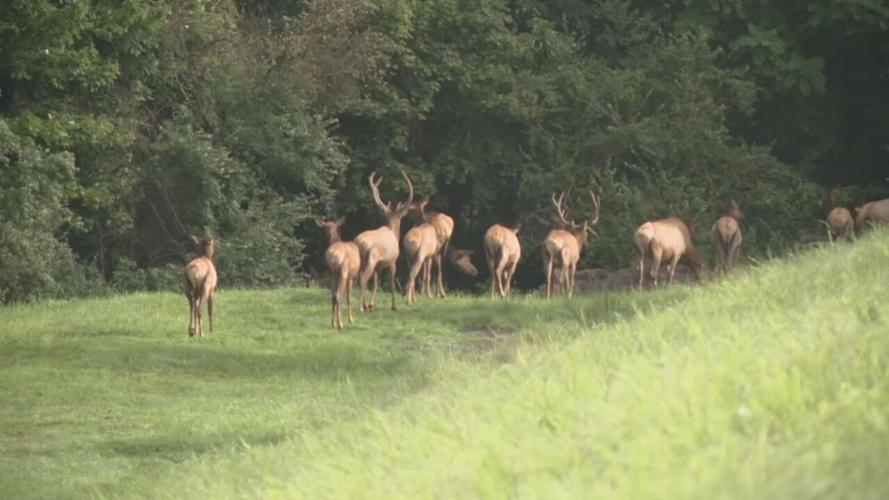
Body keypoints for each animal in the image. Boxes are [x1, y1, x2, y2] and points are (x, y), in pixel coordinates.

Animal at [354, 169, 414, 312]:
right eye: (401, 218)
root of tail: (359, 243)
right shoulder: (392, 260)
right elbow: (392, 283)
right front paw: (394, 306)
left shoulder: (377, 266)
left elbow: (376, 284)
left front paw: (372, 305)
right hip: (371, 259)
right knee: (363, 279)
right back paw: (361, 307)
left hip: (362, 261)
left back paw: (363, 305)